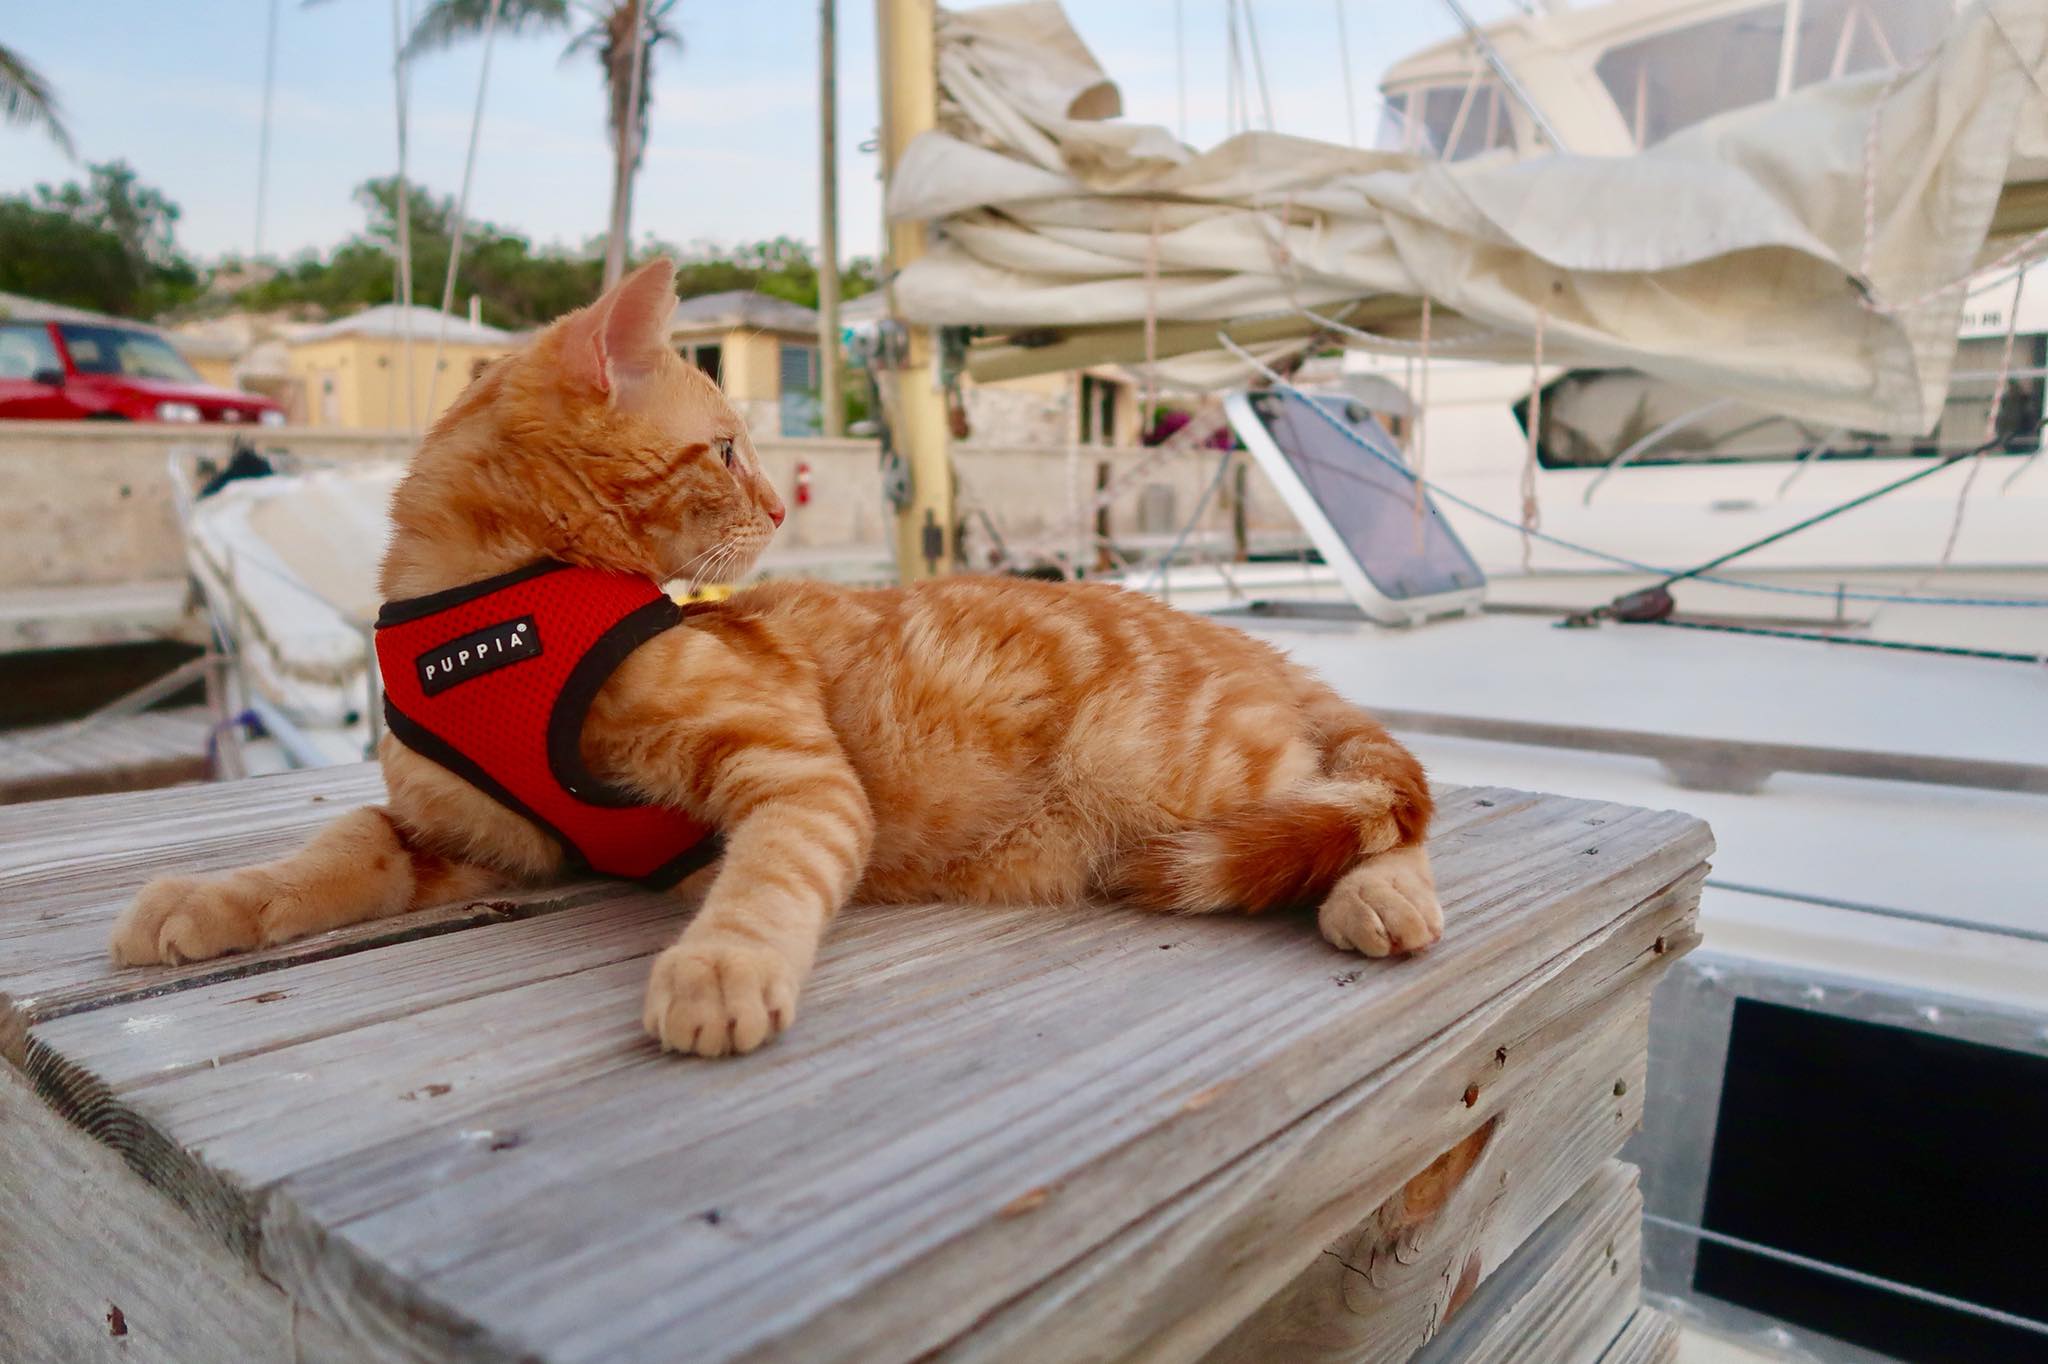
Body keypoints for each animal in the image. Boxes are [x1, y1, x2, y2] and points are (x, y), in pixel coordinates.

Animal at [99, 260, 1441, 1056]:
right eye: (729, 447)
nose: (778, 505)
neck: (482, 608)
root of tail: (1255, 640)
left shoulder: (796, 776)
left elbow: (766, 880)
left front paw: (719, 963)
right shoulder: (462, 837)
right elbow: (323, 851)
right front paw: (211, 898)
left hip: (1185, 771)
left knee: (1386, 809)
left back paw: (1380, 895)